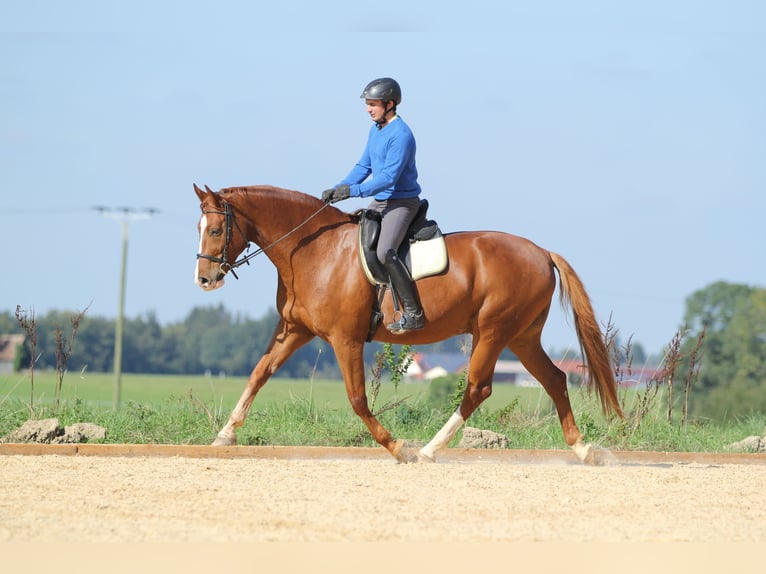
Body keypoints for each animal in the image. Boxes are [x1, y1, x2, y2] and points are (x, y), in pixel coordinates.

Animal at [193, 183, 623, 463]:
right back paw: (583, 448)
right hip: (522, 337)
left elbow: (357, 399)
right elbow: (258, 374)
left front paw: (398, 446)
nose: (204, 279)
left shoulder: (346, 339)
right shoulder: (295, 331)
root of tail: (542, 252)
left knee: (478, 388)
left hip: (494, 331)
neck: (314, 251)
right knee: (554, 379)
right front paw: (224, 435)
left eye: (215, 229)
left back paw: (428, 450)